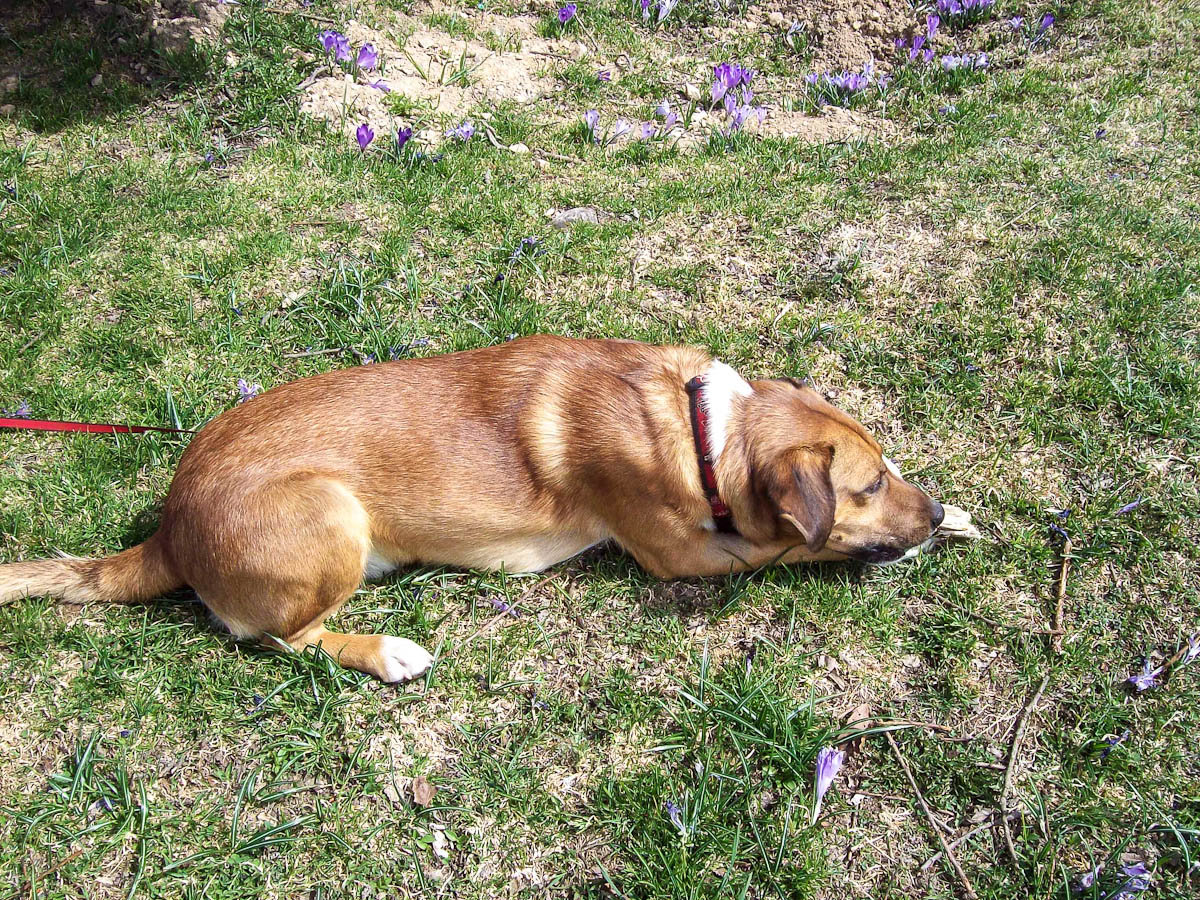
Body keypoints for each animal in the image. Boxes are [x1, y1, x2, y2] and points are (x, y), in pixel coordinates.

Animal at [0, 336, 944, 682]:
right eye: (867, 487)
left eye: (887, 465)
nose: (931, 516)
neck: (702, 426)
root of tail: (170, 527)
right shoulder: (690, 556)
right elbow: (804, 546)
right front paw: (916, 543)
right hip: (334, 518)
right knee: (283, 638)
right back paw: (388, 654)